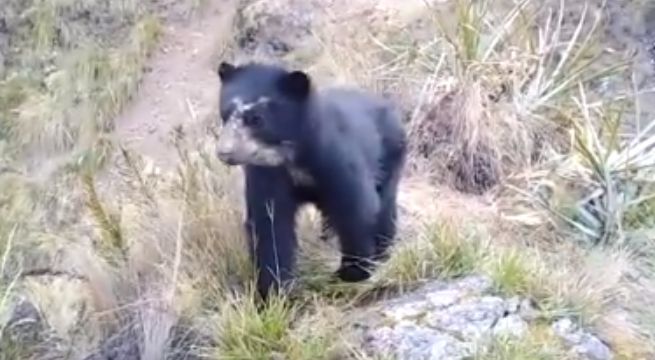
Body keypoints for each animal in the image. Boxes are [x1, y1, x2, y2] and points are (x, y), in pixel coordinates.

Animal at [215, 62, 408, 300]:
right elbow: (269, 224)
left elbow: (356, 208)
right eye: (224, 113)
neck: (291, 157)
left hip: (389, 155)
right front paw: (275, 292)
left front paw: (352, 272)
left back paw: (383, 251)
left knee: (384, 205)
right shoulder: (267, 174)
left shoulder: (337, 159)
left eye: (257, 119)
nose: (224, 152)